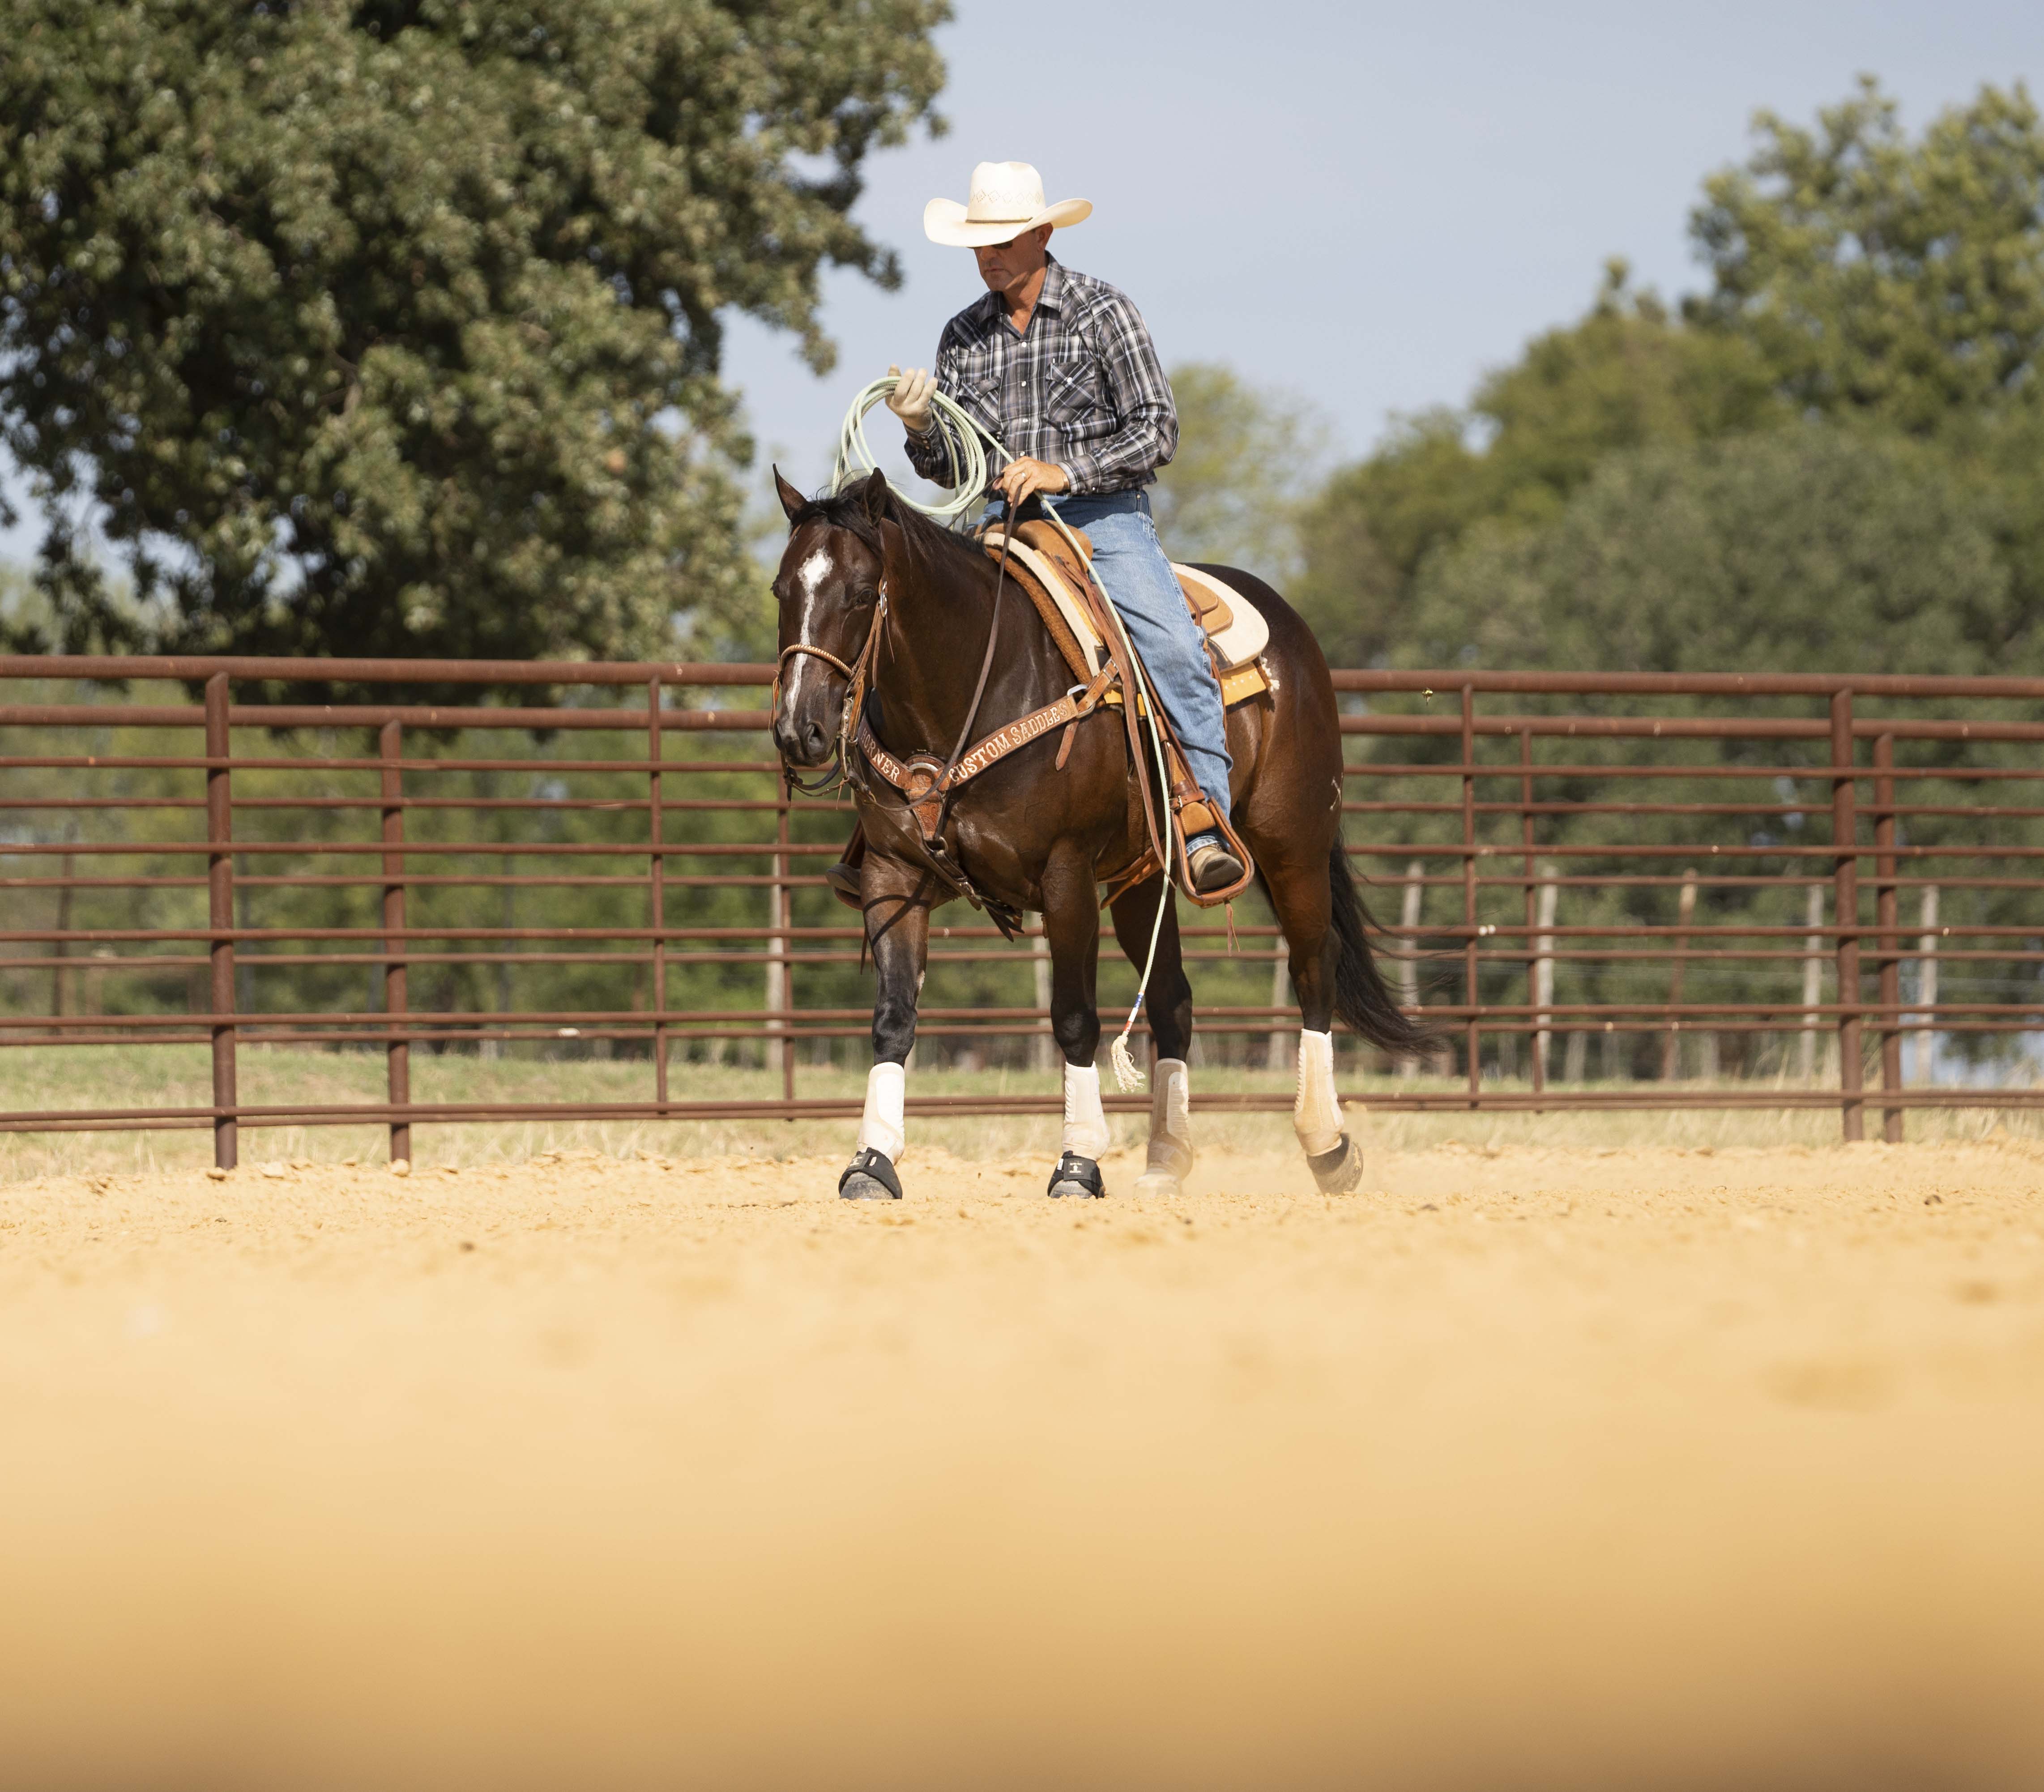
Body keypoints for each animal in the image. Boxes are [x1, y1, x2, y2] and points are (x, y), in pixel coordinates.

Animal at [768, 472, 1422, 1201]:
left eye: (860, 593)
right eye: (781, 590)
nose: (799, 730)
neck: (976, 683)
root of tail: (1289, 627)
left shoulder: (1066, 876)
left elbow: (1073, 1016)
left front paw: (1078, 1163)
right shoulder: (892, 876)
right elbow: (892, 1018)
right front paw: (871, 1161)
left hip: (1294, 848)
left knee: (1313, 969)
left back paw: (1328, 1147)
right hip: (1146, 878)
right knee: (1172, 1000)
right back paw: (1166, 1159)